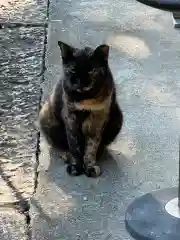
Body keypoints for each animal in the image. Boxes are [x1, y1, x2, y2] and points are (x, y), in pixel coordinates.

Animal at [38, 40, 123, 176]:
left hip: (117, 118)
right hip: (46, 115)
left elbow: (92, 145)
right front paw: (75, 166)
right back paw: (66, 155)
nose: (81, 83)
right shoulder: (70, 116)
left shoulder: (98, 118)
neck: (85, 99)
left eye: (91, 71)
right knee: (58, 145)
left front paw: (90, 166)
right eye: (73, 70)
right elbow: (74, 144)